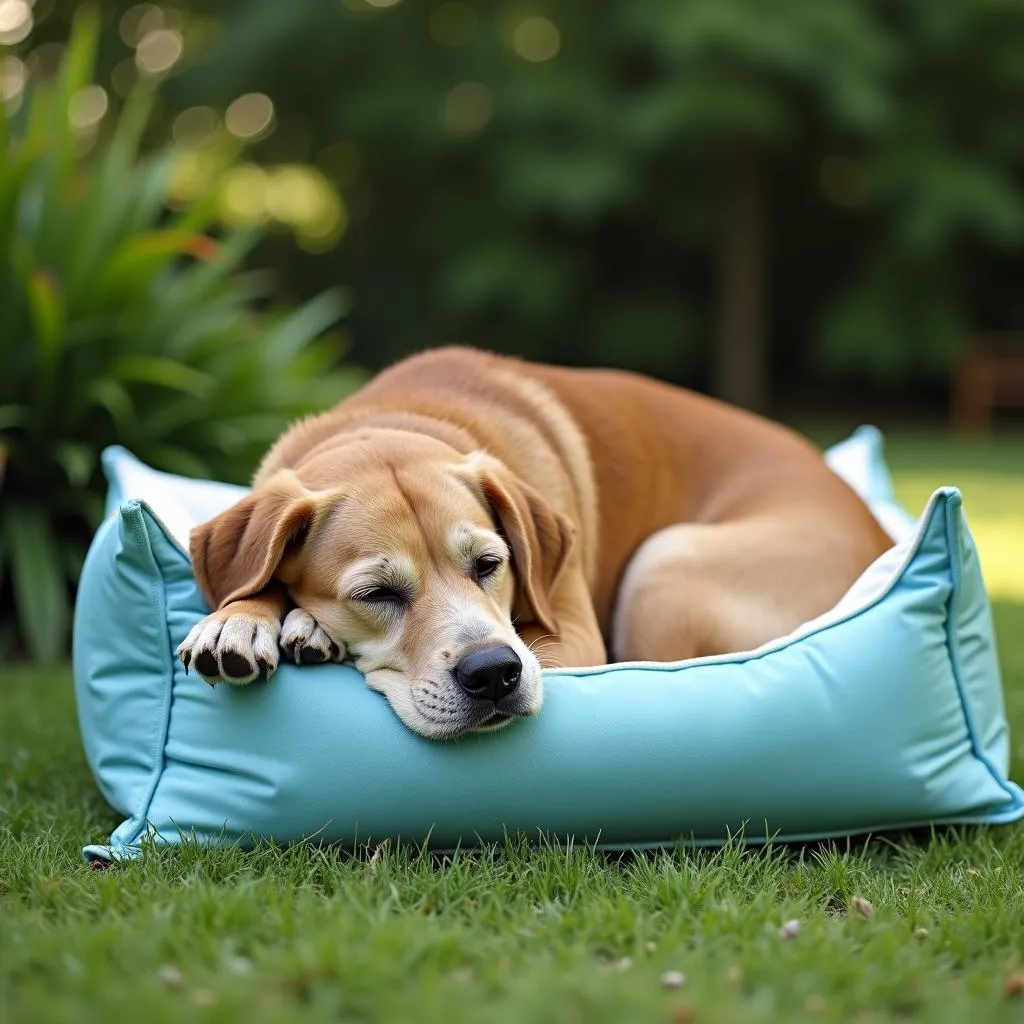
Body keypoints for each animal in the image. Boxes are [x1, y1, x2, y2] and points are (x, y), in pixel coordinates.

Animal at [180, 348, 892, 741]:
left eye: (490, 564)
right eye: (376, 592)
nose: (495, 672)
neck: (393, 421)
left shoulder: (571, 635)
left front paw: (296, 624)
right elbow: (252, 582)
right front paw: (240, 619)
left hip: (663, 563)